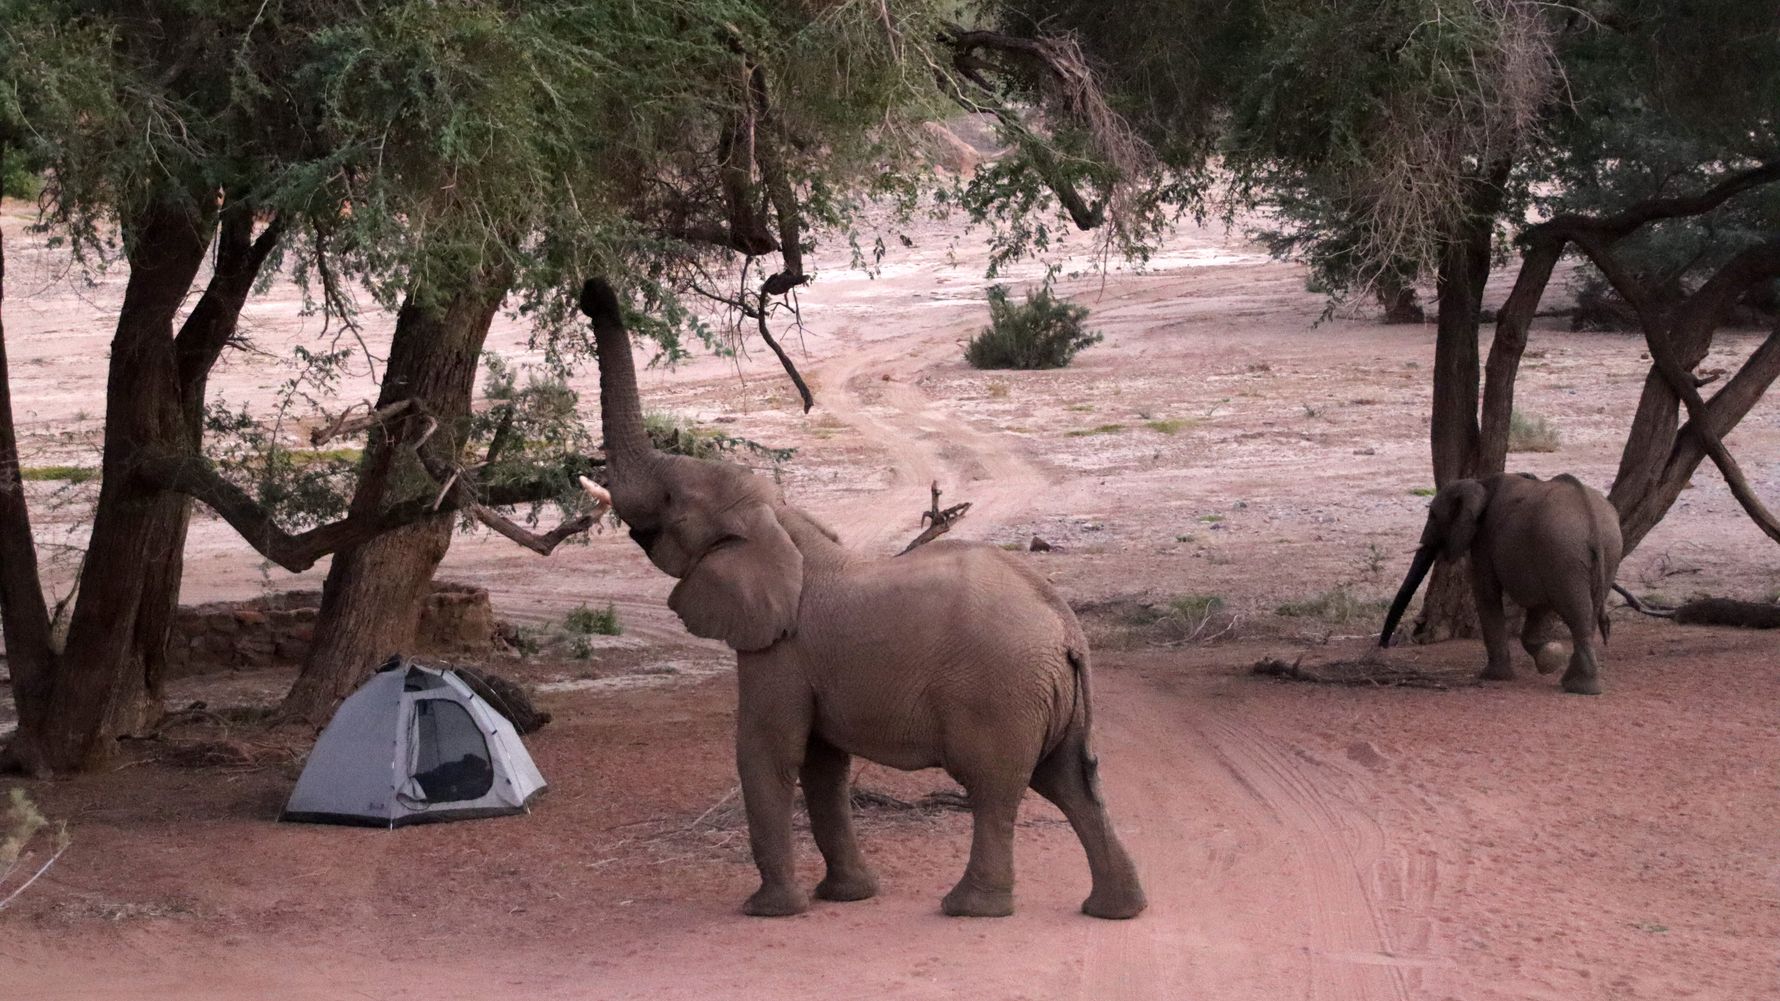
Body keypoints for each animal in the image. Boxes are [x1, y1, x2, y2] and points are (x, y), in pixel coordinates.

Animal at [574, 278, 1146, 920]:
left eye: (673, 499)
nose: (592, 290)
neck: (786, 524)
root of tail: (1068, 633)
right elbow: (823, 767)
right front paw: (846, 896)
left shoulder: (780, 651)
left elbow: (768, 755)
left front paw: (769, 910)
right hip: (1049, 696)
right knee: (1073, 783)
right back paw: (1114, 909)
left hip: (1001, 692)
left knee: (995, 789)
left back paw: (969, 908)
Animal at [1380, 472, 1624, 694]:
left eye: (1433, 515)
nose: (1383, 646)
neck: (1481, 483)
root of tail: (1590, 517)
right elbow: (1539, 606)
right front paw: (1550, 659)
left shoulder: (1485, 537)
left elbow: (1487, 593)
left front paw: (1493, 677)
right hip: (1606, 550)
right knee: (1587, 614)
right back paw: (1576, 684)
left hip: (1564, 552)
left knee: (1577, 614)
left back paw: (1580, 688)